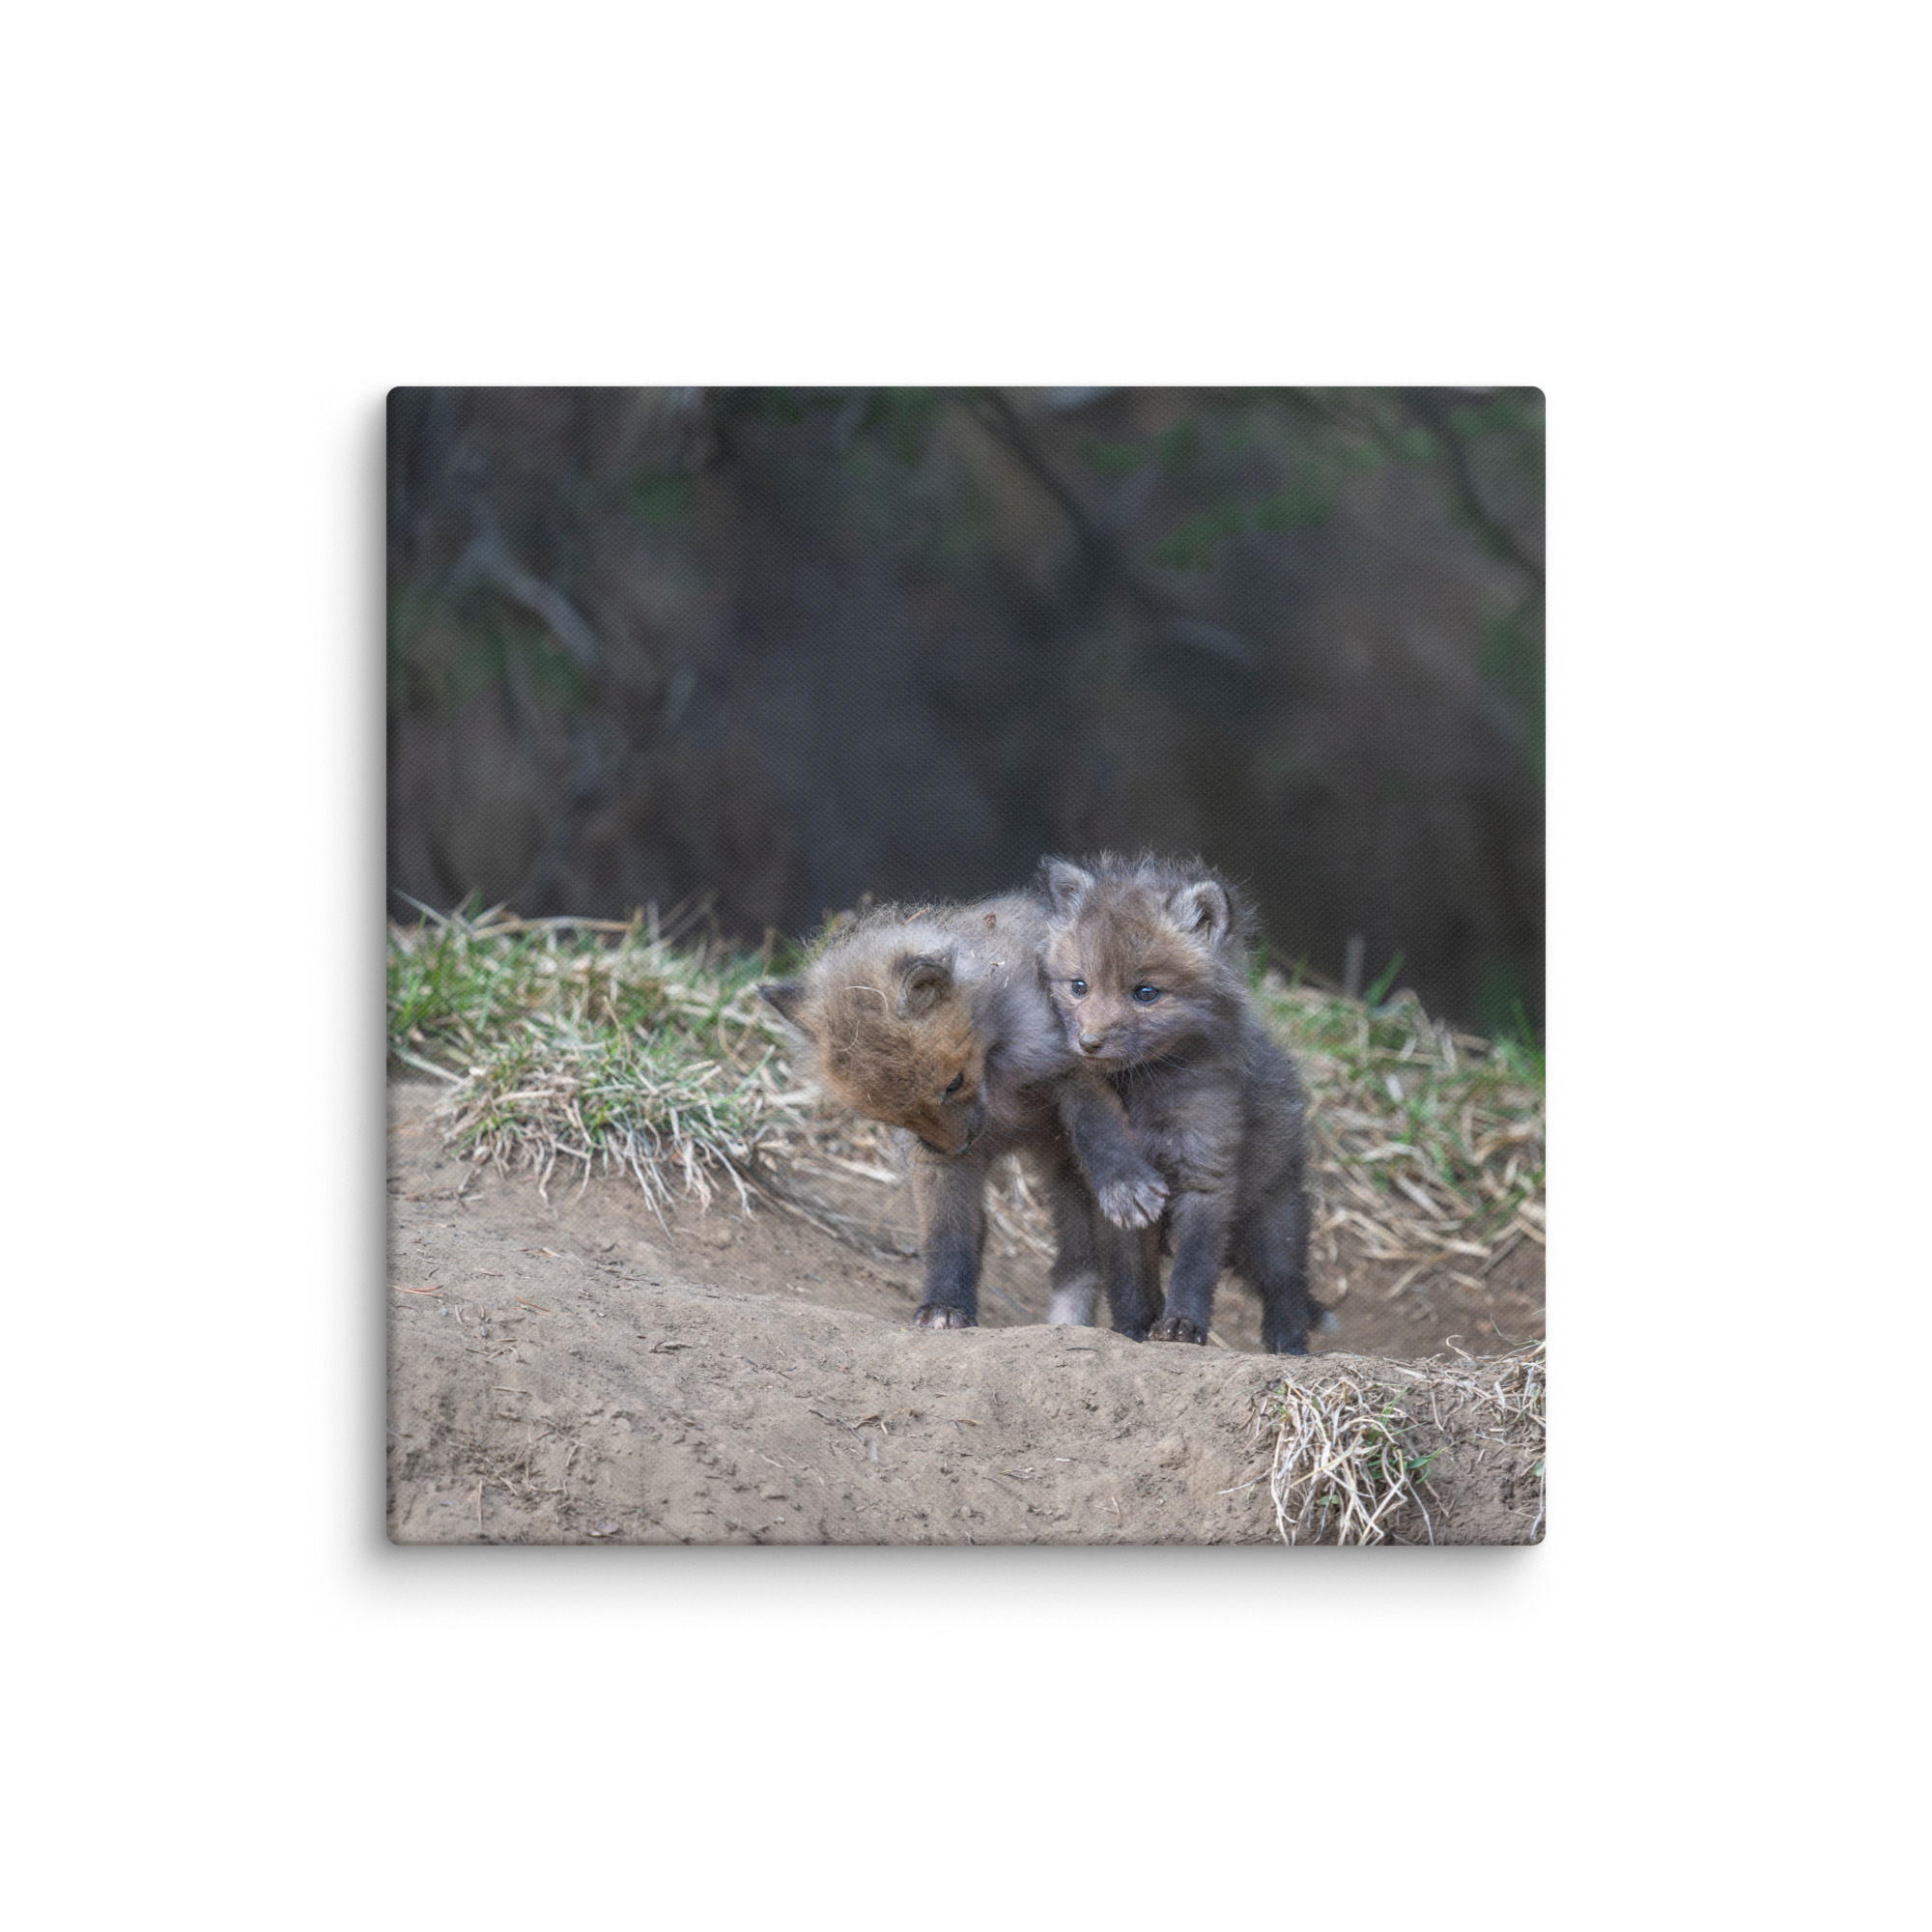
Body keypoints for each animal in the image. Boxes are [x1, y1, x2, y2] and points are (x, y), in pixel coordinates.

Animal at [758, 893, 1168, 1333]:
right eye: (893, 1116)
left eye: (954, 1084)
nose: (958, 1147)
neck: (998, 1078)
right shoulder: (935, 1160)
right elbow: (946, 1235)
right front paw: (945, 1305)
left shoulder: (1074, 1065)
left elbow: (1099, 1129)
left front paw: (1124, 1182)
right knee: (1075, 1260)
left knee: (1124, 1262)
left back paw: (1136, 1327)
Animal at [1037, 853, 1321, 1355]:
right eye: (1079, 986)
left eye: (1146, 993)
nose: (1088, 1043)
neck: (1144, 1094)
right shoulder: (1119, 1199)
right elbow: (1129, 1276)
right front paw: (1132, 1330)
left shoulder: (1206, 1172)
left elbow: (1194, 1266)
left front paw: (1182, 1327)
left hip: (1273, 1220)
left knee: (1286, 1287)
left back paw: (1290, 1350)